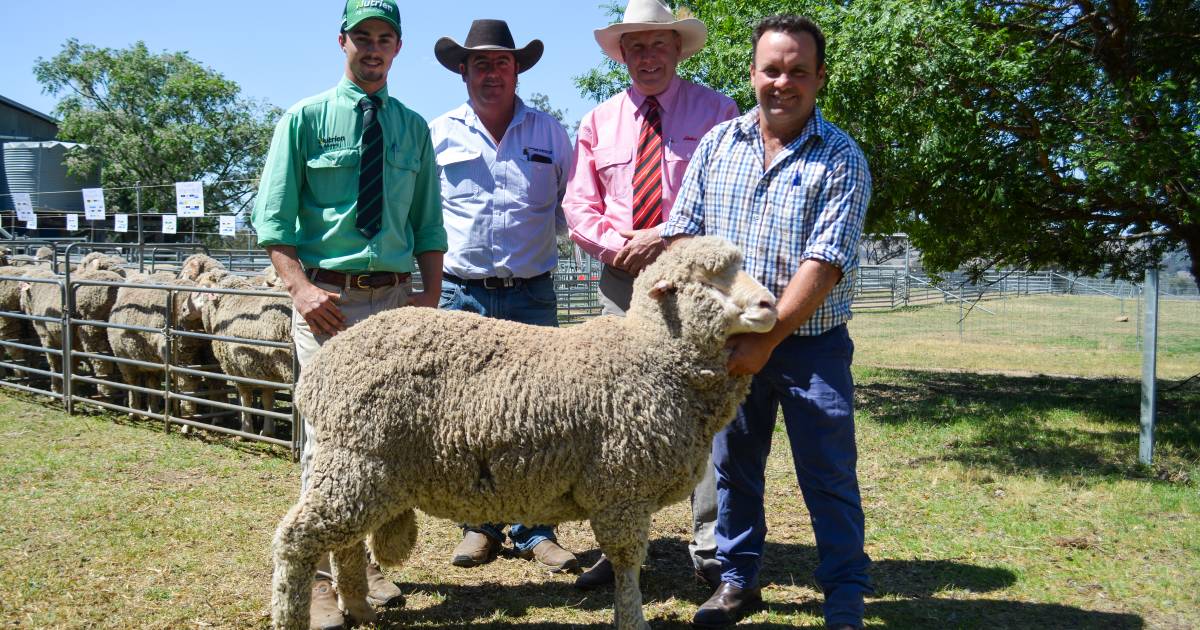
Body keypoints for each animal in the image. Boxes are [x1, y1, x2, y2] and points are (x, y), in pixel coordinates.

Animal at [271, 237, 777, 628]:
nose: (770, 305)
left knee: (345, 544)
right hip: (357, 463)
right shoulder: (622, 489)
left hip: (363, 474)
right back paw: (295, 617)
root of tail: (321, 369)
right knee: (298, 539)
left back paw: (360, 609)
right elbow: (627, 563)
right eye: (706, 279)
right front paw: (632, 620)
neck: (650, 354)